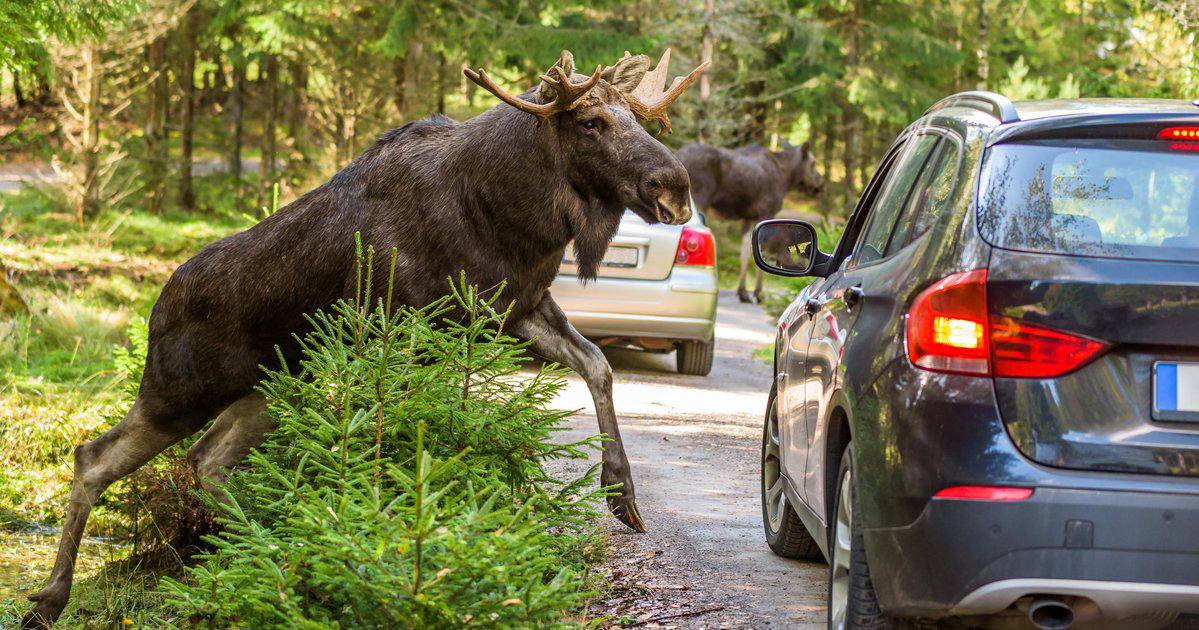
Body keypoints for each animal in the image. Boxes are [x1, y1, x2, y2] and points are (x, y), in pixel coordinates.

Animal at [21, 50, 700, 628]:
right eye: (589, 121)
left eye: (639, 119)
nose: (675, 187)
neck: (511, 216)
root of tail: (155, 310)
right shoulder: (411, 328)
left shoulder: (517, 310)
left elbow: (598, 366)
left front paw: (621, 492)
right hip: (179, 392)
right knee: (93, 458)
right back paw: (52, 599)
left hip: (266, 390)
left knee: (206, 459)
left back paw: (271, 539)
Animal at [681, 141, 829, 302]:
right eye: (813, 163)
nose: (821, 185)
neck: (786, 175)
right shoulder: (766, 212)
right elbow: (763, 251)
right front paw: (758, 293)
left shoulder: (748, 217)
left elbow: (745, 252)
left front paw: (743, 292)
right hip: (698, 199)